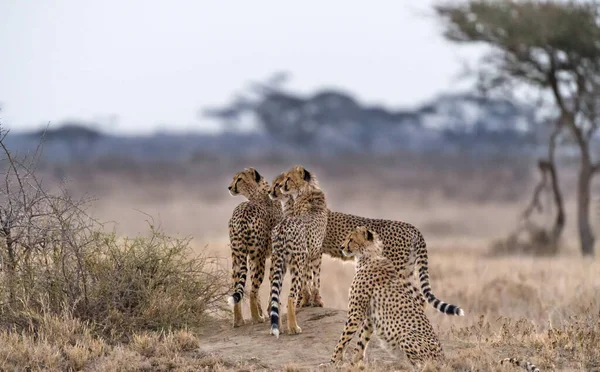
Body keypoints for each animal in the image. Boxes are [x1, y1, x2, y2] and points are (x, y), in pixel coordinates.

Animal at [227, 167, 284, 326]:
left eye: (239, 179)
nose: (230, 187)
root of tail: (240, 216)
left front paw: (264, 311)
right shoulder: (273, 253)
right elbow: (273, 281)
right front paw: (269, 310)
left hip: (237, 257)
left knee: (238, 287)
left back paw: (238, 320)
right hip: (258, 258)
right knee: (253, 290)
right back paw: (256, 318)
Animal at [270, 166, 328, 338]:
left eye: (288, 179)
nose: (281, 187)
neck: (307, 191)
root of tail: (283, 226)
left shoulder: (308, 257)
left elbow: (307, 280)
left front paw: (308, 300)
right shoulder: (316, 254)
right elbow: (315, 280)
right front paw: (316, 301)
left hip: (281, 263)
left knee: (275, 295)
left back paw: (278, 327)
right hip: (296, 262)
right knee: (290, 296)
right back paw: (293, 328)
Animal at [330, 225, 442, 368]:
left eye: (351, 239)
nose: (342, 247)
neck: (368, 256)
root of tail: (443, 358)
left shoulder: (355, 313)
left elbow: (343, 339)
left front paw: (332, 362)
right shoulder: (370, 317)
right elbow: (362, 340)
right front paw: (354, 363)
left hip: (405, 335)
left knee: (422, 365)